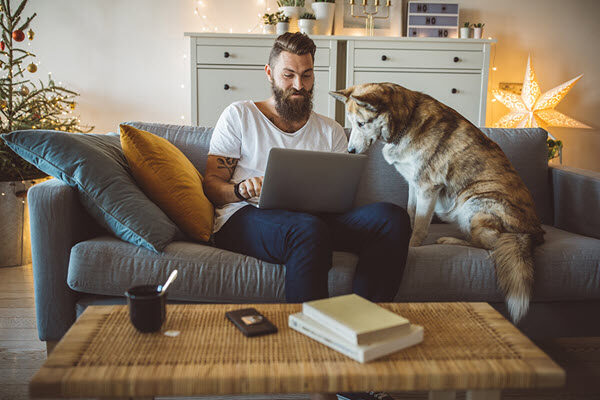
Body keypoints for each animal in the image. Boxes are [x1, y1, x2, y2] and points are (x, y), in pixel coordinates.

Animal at [330, 83, 548, 324]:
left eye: (361, 123)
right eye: (351, 124)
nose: (349, 151)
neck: (405, 121)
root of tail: (532, 234)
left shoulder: (427, 187)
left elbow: (420, 226)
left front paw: (411, 245)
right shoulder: (413, 184)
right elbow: (411, 213)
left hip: (473, 202)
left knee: (489, 245)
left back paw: (450, 239)